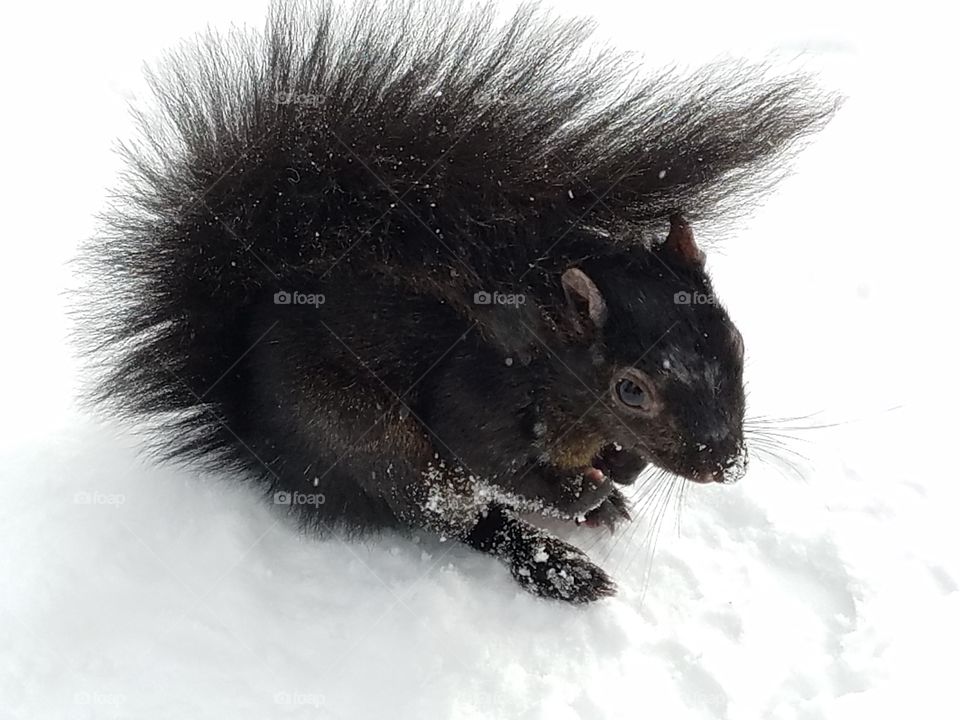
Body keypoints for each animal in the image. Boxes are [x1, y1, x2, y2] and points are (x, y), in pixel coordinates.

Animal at [77, 1, 838, 603]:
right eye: (630, 389)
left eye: (737, 341)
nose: (726, 464)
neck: (557, 369)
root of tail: (255, 432)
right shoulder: (475, 392)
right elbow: (496, 462)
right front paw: (586, 494)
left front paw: (619, 477)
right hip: (368, 439)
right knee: (457, 515)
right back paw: (556, 563)